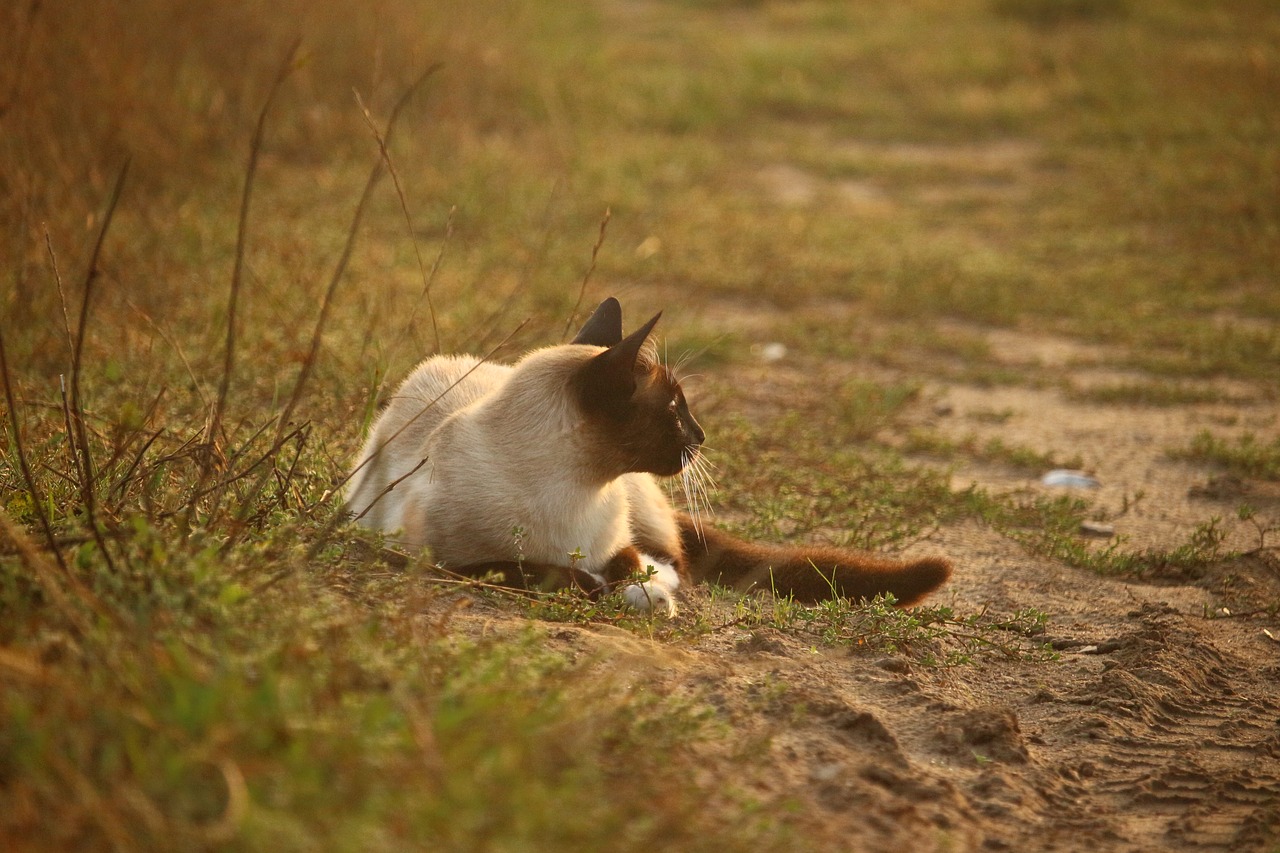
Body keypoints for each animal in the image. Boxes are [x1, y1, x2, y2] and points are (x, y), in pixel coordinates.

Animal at [345, 297, 957, 612]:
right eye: (676, 410)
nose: (702, 437)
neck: (575, 492)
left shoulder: (618, 540)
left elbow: (632, 563)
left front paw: (645, 589)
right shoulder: (435, 560)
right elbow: (536, 570)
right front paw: (603, 586)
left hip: (646, 509)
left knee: (680, 558)